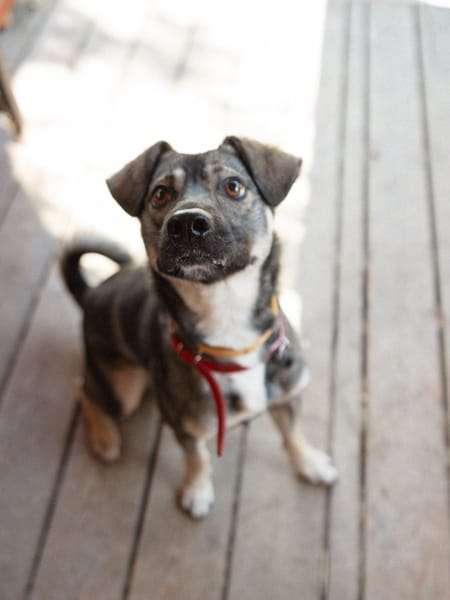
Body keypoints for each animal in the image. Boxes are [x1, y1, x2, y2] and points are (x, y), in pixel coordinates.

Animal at [61, 136, 337, 519]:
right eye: (160, 194)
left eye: (234, 187)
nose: (187, 222)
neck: (226, 315)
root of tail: (90, 293)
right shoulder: (184, 426)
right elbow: (198, 457)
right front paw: (197, 491)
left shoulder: (287, 396)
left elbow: (293, 434)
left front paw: (310, 463)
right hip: (123, 386)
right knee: (85, 392)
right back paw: (105, 439)